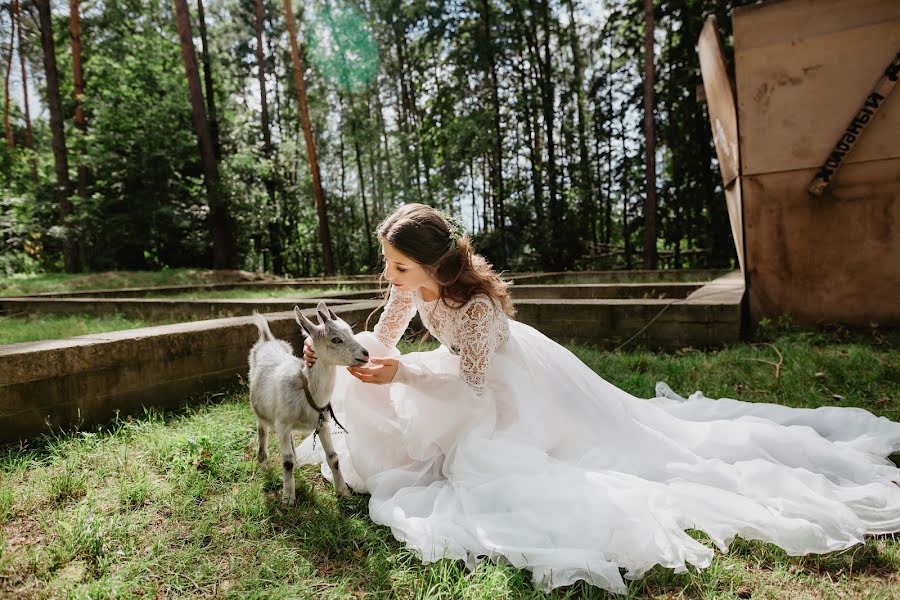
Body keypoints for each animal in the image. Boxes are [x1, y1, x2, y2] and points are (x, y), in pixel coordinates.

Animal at [246, 302, 370, 504]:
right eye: (336, 339)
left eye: (351, 332)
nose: (365, 353)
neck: (306, 389)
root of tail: (266, 339)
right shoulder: (282, 424)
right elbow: (286, 461)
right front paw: (288, 497)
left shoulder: (323, 423)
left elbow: (333, 457)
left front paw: (343, 491)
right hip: (262, 410)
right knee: (262, 430)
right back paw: (263, 465)